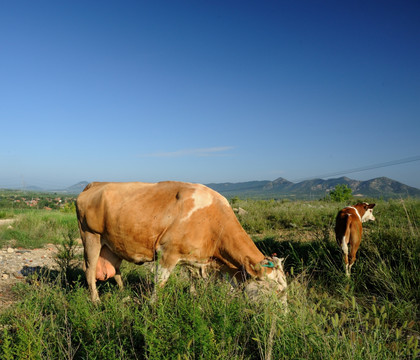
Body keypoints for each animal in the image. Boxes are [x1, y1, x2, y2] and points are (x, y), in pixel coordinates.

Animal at [75, 181, 288, 302]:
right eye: (278, 291)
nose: (283, 319)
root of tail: (95, 183)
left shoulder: (194, 259)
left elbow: (193, 283)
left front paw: (194, 300)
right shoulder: (167, 253)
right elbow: (159, 286)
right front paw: (152, 309)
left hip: (113, 245)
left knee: (116, 271)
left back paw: (123, 293)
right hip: (91, 237)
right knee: (90, 271)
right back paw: (96, 301)